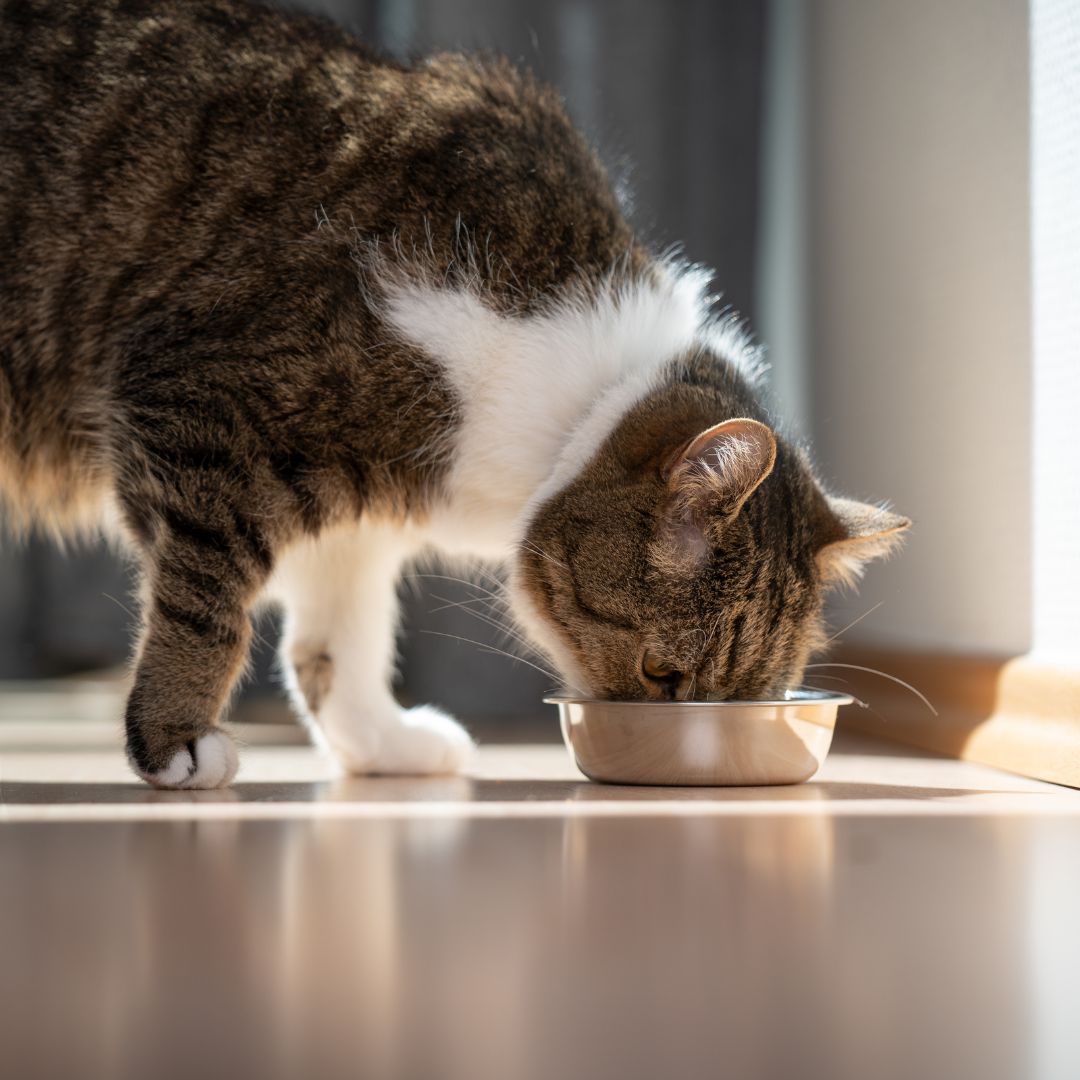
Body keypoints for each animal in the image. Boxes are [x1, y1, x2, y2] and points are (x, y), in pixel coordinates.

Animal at [2, 2, 911, 794]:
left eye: (746, 694)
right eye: (662, 671)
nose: (684, 732)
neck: (574, 395)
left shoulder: (350, 520)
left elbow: (339, 641)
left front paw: (382, 744)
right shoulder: (196, 407)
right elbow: (206, 608)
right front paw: (176, 739)